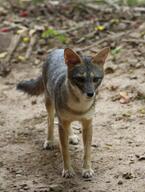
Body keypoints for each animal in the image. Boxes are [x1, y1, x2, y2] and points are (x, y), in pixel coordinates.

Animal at [16, 47, 109, 178]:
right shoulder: (62, 124)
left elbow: (87, 151)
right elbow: (65, 151)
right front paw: (68, 170)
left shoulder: (87, 124)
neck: (79, 107)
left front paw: (86, 169)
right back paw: (49, 141)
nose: (91, 94)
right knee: (49, 121)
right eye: (80, 79)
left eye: (95, 79)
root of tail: (57, 49)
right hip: (50, 105)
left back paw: (72, 136)